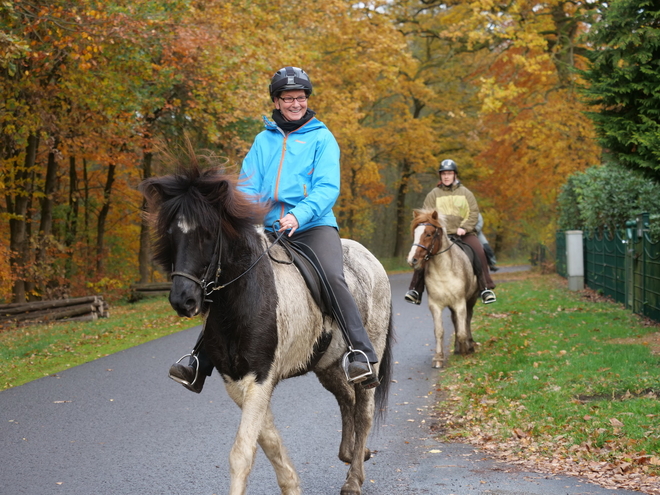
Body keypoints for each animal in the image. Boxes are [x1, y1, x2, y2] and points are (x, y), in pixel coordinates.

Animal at [141, 164, 392, 495]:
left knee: (363, 411)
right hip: (326, 364)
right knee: (346, 399)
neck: (243, 298)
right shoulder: (237, 381)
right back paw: (352, 454)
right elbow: (268, 440)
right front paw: (292, 484)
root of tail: (371, 259)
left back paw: (353, 479)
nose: (184, 300)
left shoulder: (259, 377)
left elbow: (242, 452)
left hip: (369, 354)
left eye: (207, 233)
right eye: (171, 233)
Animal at [404, 209, 476, 368]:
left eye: (429, 234)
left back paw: (469, 345)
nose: (412, 260)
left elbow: (462, 330)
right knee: (456, 321)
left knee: (467, 321)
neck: (443, 270)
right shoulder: (435, 305)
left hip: (471, 300)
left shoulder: (460, 303)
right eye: (415, 233)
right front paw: (438, 358)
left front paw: (464, 351)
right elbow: (439, 331)